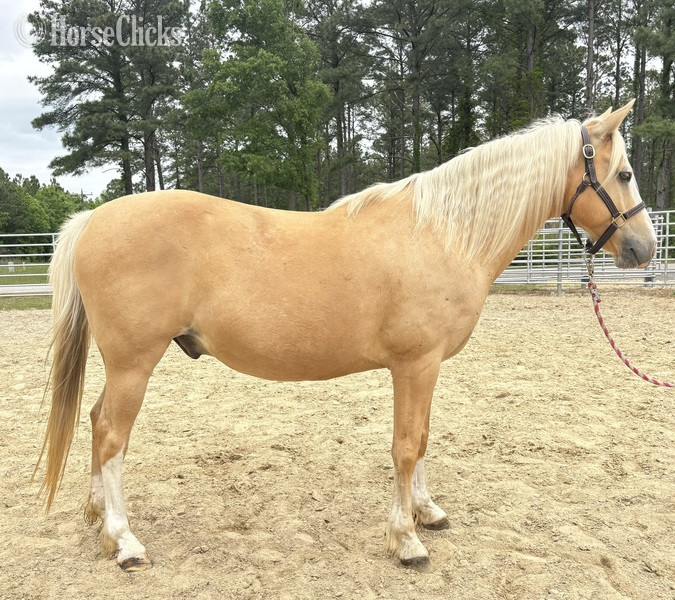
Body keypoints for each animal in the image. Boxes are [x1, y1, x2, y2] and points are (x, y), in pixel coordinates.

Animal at [35, 101, 656, 572]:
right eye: (625, 174)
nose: (645, 249)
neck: (442, 234)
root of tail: (92, 220)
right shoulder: (415, 363)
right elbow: (406, 446)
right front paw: (406, 541)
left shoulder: (427, 367)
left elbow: (423, 439)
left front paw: (427, 512)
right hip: (133, 364)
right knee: (111, 436)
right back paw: (124, 542)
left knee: (96, 423)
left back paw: (98, 519)